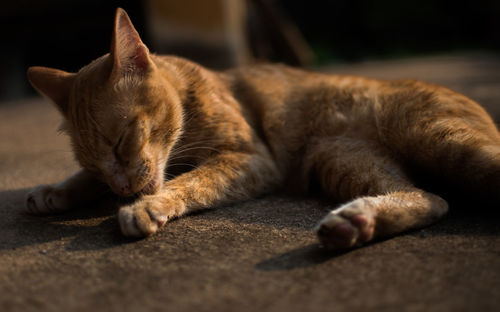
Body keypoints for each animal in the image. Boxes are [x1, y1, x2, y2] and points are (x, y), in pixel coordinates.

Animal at [25, 8, 500, 250]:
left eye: (125, 140)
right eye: (97, 162)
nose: (122, 189)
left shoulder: (250, 159)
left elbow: (192, 181)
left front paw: (146, 206)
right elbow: (83, 180)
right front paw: (55, 192)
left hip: (441, 139)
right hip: (343, 161)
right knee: (430, 198)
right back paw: (355, 223)